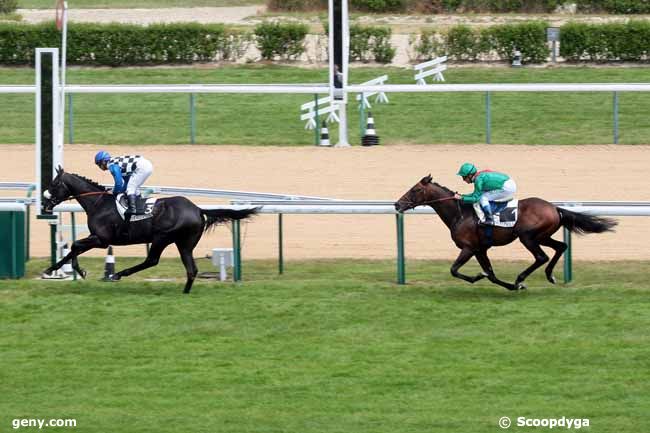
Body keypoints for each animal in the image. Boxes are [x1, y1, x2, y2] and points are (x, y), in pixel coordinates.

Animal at [39, 165, 258, 294]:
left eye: (55, 183)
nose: (45, 202)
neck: (99, 203)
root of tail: (197, 209)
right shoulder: (98, 238)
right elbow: (73, 248)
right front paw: (51, 269)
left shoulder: (102, 239)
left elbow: (75, 245)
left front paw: (78, 270)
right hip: (184, 243)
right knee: (191, 269)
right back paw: (185, 292)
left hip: (162, 237)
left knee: (152, 260)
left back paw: (117, 275)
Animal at [392, 175, 616, 290]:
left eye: (414, 190)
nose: (397, 204)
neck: (460, 214)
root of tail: (555, 208)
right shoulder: (480, 249)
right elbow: (490, 274)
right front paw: (499, 282)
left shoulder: (469, 248)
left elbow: (454, 270)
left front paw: (480, 277)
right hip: (543, 236)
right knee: (561, 246)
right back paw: (549, 276)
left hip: (528, 237)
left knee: (541, 256)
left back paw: (521, 278)